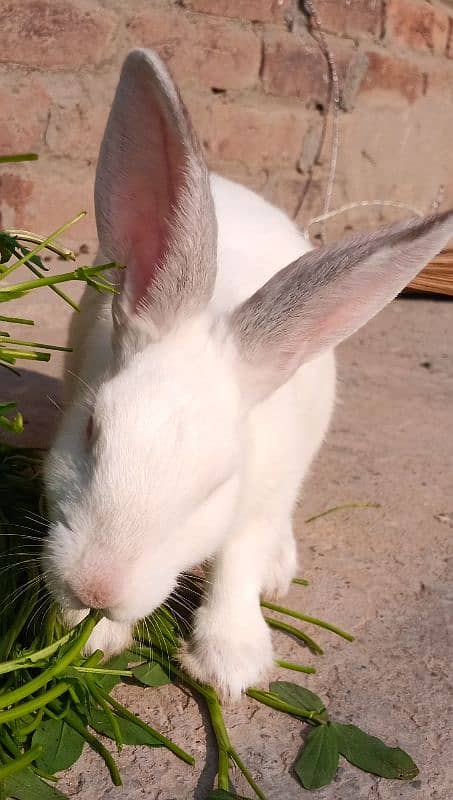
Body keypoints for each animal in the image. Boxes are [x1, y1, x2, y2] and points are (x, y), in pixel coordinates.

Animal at [43, 51, 452, 700]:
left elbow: (238, 556)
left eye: (216, 483)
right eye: (91, 433)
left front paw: (230, 665)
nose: (98, 588)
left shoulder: (260, 493)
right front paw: (91, 634)